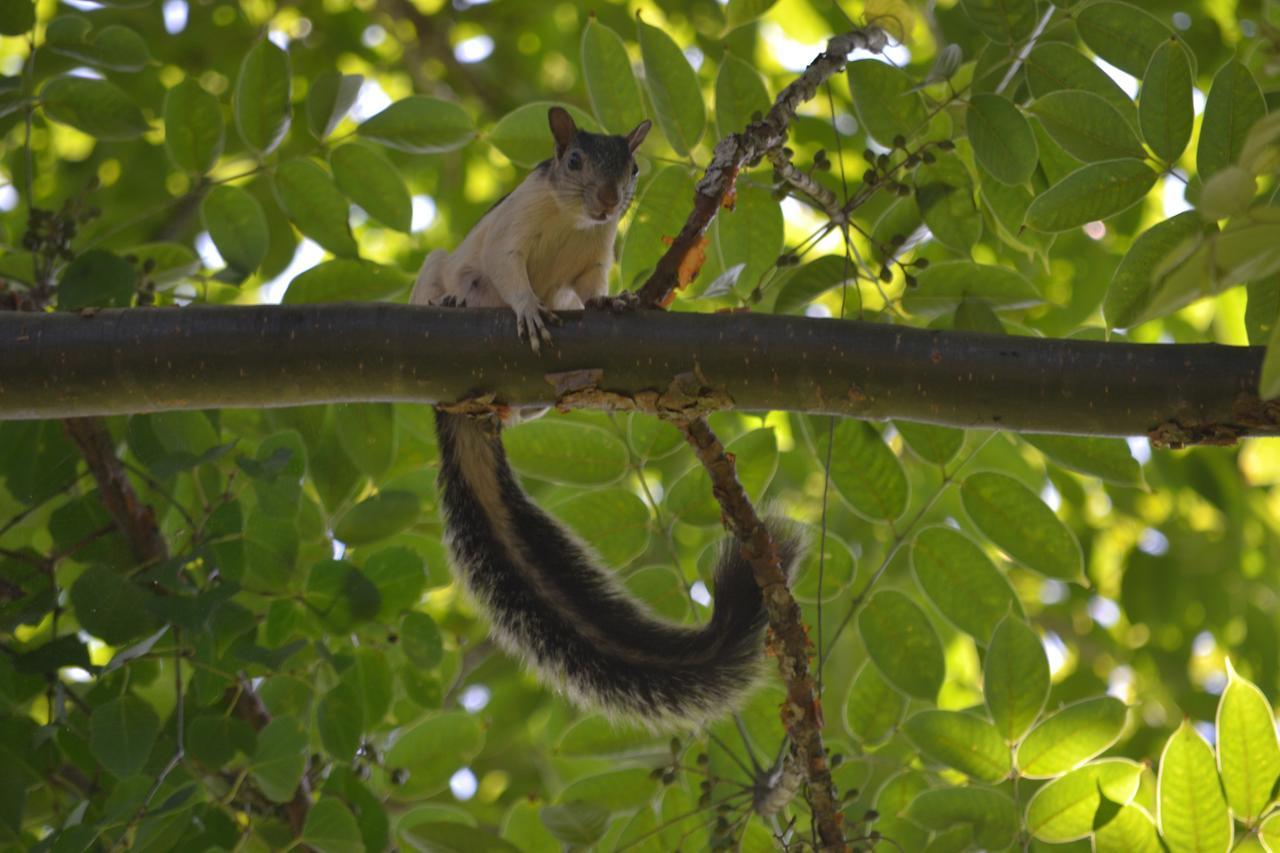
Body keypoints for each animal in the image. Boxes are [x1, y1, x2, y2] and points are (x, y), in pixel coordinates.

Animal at [409, 103, 798, 722]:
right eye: (573, 160)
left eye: (633, 168)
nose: (609, 201)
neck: (574, 222)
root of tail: (468, 411)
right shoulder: (510, 232)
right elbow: (508, 270)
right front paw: (526, 308)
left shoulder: (594, 258)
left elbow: (591, 287)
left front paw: (612, 301)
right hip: (438, 267)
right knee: (445, 275)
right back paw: (449, 299)